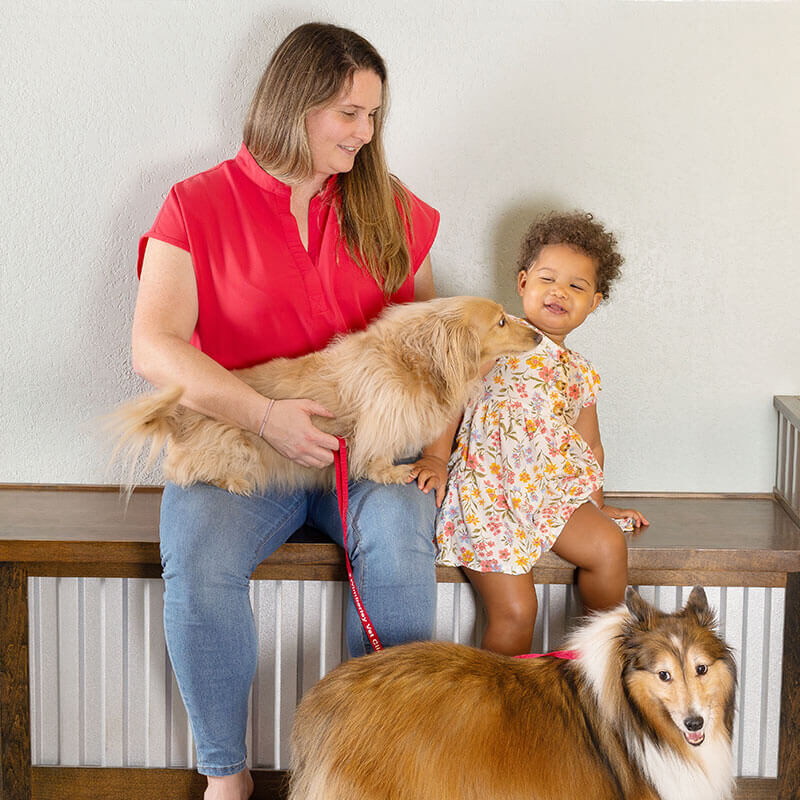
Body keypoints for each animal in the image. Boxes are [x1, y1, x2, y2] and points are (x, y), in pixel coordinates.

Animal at [109, 294, 540, 494]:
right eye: (501, 322)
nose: (537, 335)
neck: (415, 359)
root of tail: (179, 415)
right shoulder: (379, 422)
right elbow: (376, 457)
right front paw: (392, 472)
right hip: (235, 446)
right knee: (183, 471)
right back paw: (233, 481)